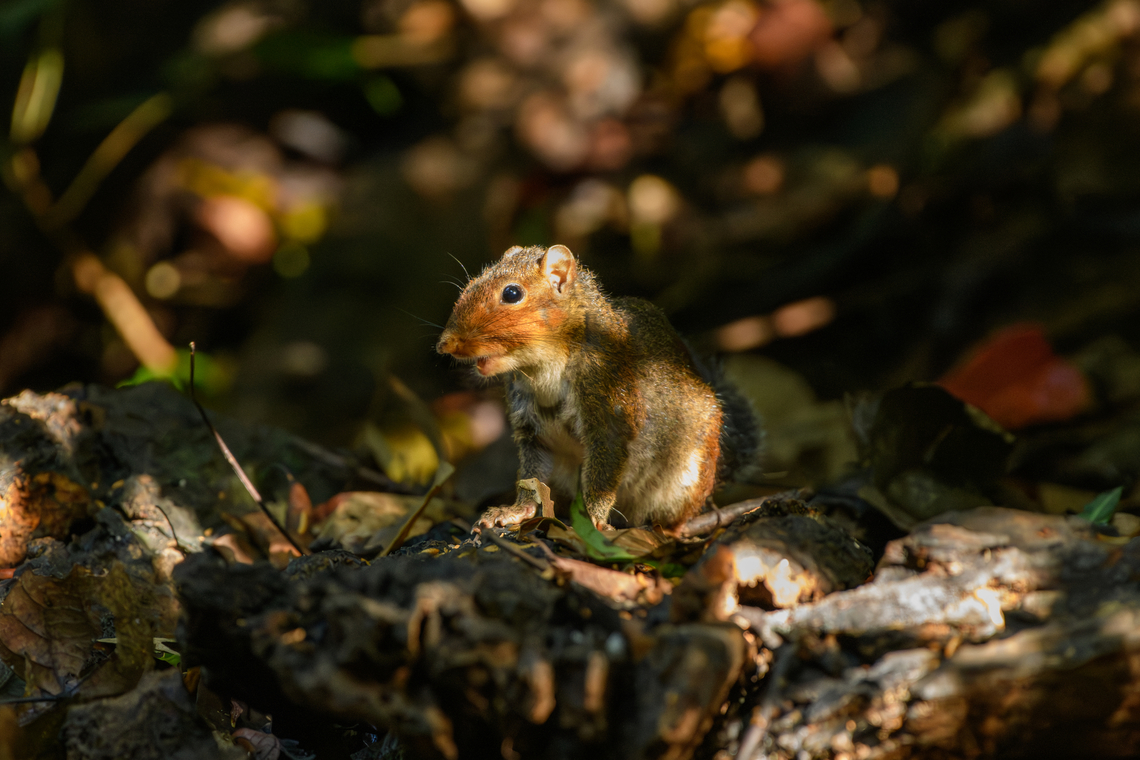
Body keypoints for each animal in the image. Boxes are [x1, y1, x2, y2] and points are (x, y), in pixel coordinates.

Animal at [437, 244, 762, 532]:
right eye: (472, 282)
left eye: (512, 293)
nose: (445, 344)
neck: (543, 368)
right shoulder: (532, 428)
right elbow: (532, 477)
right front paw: (515, 510)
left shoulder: (609, 406)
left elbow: (602, 476)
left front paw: (594, 520)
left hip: (685, 479)